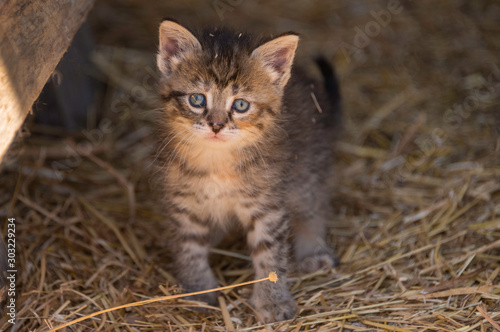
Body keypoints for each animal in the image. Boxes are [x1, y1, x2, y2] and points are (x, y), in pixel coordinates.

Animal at [154, 20, 342, 322]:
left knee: (313, 208)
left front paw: (273, 301)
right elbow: (189, 246)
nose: (216, 125)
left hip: (308, 170)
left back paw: (313, 250)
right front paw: (198, 289)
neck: (217, 162)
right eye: (197, 99)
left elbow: (270, 254)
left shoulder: (267, 204)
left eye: (240, 105)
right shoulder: (184, 202)